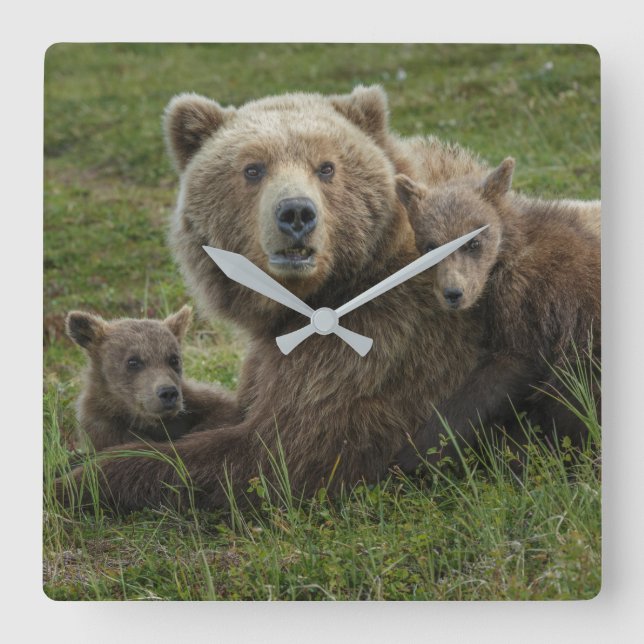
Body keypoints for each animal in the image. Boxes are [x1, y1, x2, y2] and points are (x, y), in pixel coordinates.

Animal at [393, 158, 601, 470]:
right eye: (430, 246)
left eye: (473, 242)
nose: (453, 293)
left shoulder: (534, 308)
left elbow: (496, 379)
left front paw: (413, 456)